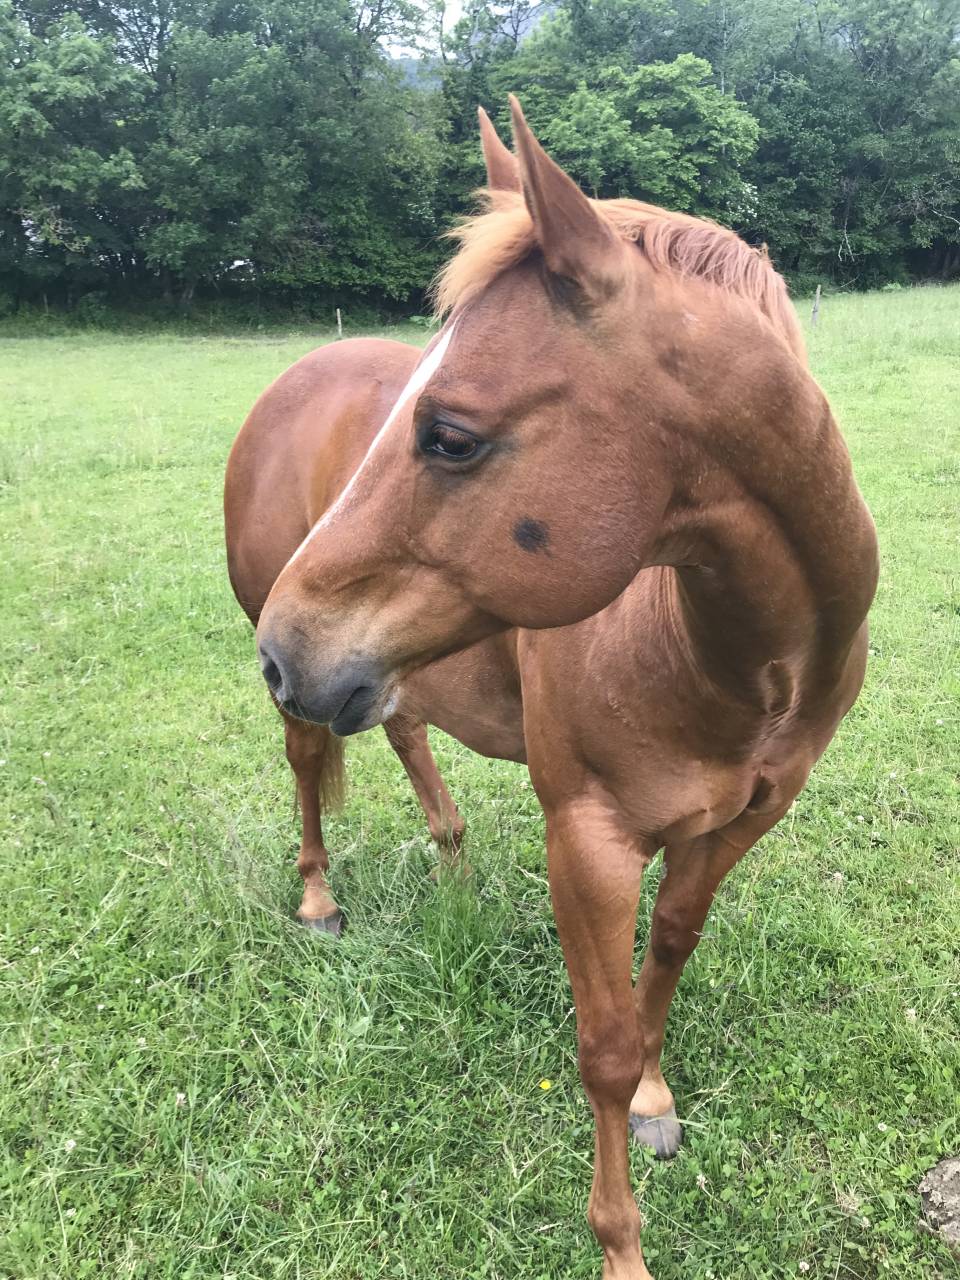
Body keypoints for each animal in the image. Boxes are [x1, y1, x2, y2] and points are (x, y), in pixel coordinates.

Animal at [227, 98, 878, 1278]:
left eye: (449, 435)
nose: (283, 646)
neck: (725, 659)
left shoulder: (739, 822)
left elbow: (670, 953)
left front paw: (661, 1099)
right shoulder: (588, 837)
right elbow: (603, 1047)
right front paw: (621, 1245)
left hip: (382, 681)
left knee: (402, 732)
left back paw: (450, 854)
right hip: (324, 706)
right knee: (307, 761)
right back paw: (318, 898)